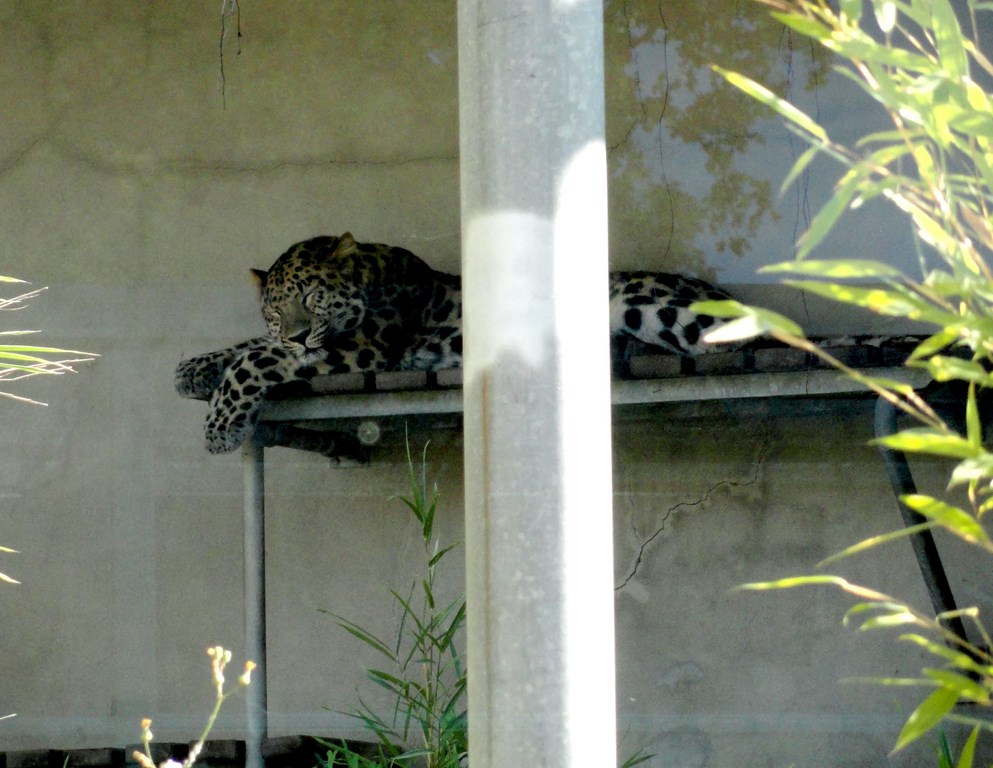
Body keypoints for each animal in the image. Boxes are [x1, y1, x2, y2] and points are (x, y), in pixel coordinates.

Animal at [176, 233, 732, 454]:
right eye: (274, 311)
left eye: (312, 298)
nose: (293, 332)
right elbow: (247, 345)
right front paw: (193, 368)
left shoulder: (367, 344)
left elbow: (254, 357)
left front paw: (219, 426)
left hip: (645, 303)